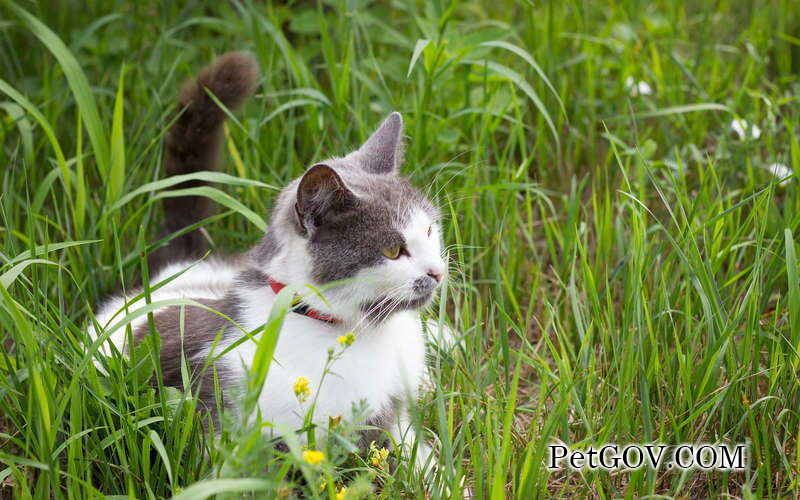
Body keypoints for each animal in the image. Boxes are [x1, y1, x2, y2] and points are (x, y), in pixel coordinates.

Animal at [92, 52, 450, 466]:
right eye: (393, 250)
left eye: (429, 231)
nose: (438, 272)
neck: (351, 334)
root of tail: (178, 266)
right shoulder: (225, 415)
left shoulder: (393, 417)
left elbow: (415, 455)